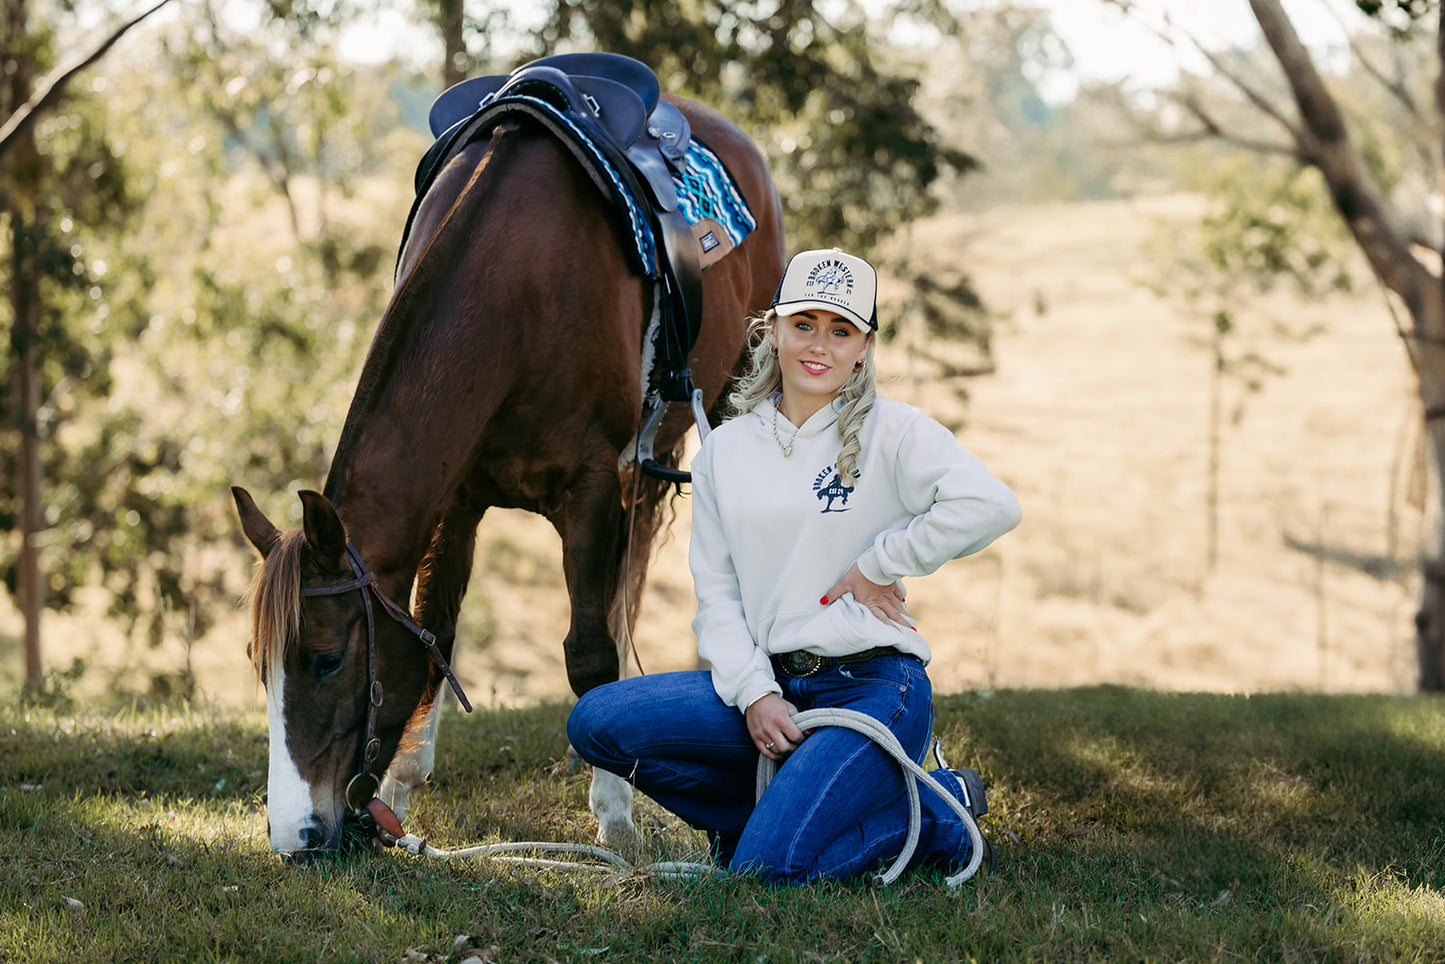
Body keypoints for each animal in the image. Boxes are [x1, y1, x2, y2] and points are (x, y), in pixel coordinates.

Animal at [231, 79, 786, 855]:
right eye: (261, 666)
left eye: (326, 659)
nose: (294, 835)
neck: (517, 286)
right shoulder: (456, 502)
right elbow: (435, 636)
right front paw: (401, 790)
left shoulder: (590, 487)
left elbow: (588, 652)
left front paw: (616, 820)